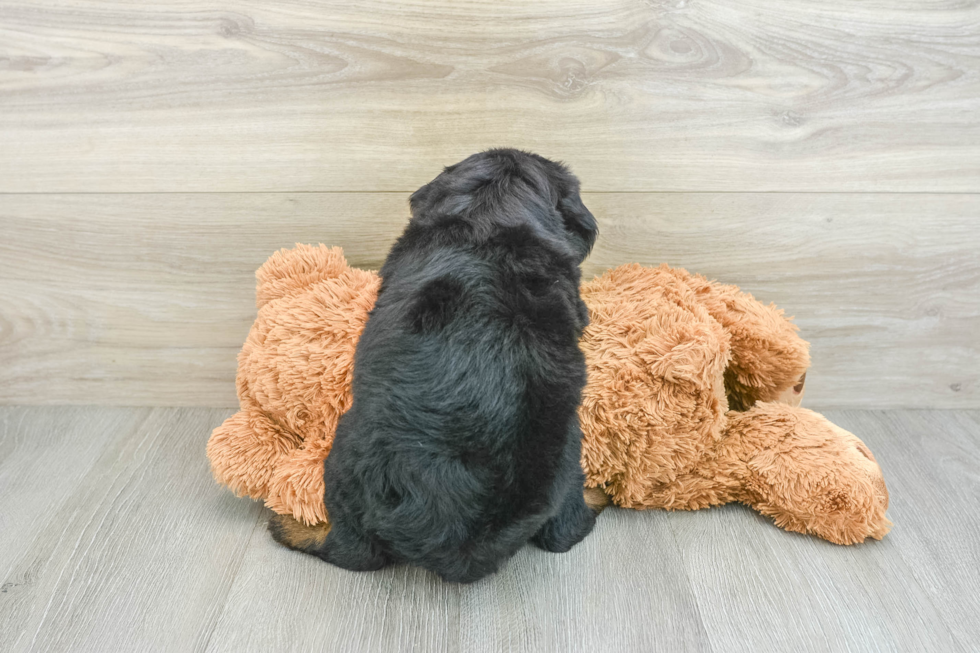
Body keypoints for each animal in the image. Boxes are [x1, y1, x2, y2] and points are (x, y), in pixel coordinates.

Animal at [268, 148, 596, 580]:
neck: (494, 213)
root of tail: (452, 537)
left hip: (343, 464)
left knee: (351, 551)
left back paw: (290, 528)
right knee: (562, 533)